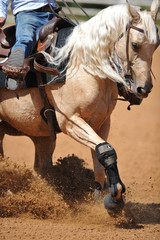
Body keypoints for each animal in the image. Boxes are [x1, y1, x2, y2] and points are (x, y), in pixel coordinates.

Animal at [0, 0, 159, 216]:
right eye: (135, 44)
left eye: (156, 45)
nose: (144, 88)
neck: (84, 65)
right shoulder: (71, 121)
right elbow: (107, 150)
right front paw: (115, 199)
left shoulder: (102, 122)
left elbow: (100, 158)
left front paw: (105, 199)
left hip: (42, 137)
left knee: (41, 166)